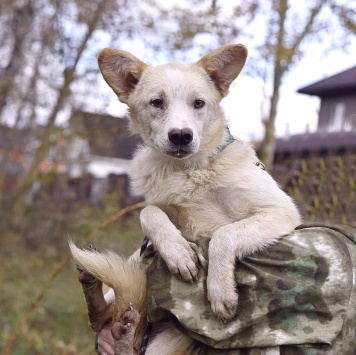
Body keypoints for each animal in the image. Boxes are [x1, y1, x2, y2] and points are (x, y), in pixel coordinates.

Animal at [69, 43, 300, 354]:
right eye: (157, 102)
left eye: (198, 103)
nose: (181, 136)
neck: (191, 171)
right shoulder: (163, 213)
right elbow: (149, 213)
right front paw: (178, 254)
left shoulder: (279, 211)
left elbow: (223, 235)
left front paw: (220, 291)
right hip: (137, 268)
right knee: (102, 316)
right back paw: (94, 289)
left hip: (173, 339)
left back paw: (124, 330)